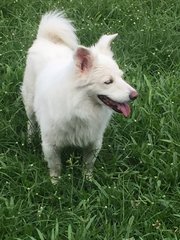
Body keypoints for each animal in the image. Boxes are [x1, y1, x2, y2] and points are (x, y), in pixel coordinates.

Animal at [21, 10, 139, 181]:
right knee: (30, 122)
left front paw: (88, 181)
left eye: (121, 77)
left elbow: (87, 165)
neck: (79, 106)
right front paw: (55, 183)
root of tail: (45, 38)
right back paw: (30, 140)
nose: (135, 95)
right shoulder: (51, 146)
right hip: (30, 105)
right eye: (108, 81)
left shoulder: (93, 143)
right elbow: (55, 168)